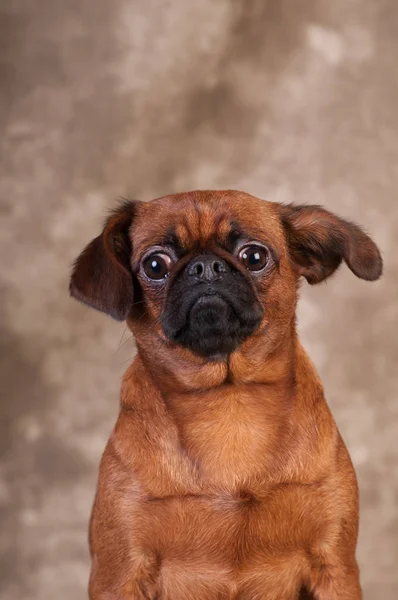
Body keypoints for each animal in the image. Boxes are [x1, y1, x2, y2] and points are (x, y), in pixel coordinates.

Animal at [69, 190, 382, 596]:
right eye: (155, 265)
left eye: (254, 257)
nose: (205, 267)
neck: (228, 403)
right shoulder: (119, 575)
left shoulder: (335, 569)